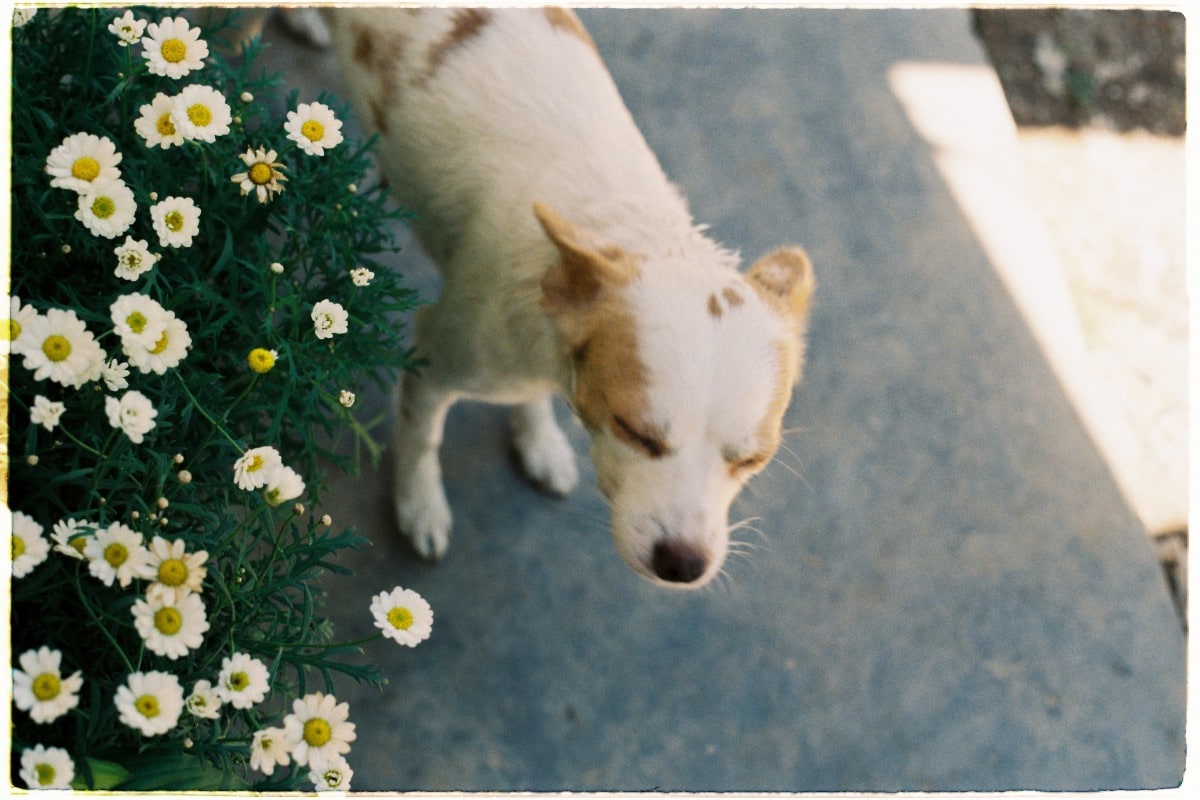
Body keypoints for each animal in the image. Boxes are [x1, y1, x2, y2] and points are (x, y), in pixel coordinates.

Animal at [326, 3, 816, 585]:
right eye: (634, 432)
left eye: (752, 461)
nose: (683, 564)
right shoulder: (432, 364)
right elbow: (422, 438)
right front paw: (420, 505)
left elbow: (529, 398)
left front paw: (539, 440)